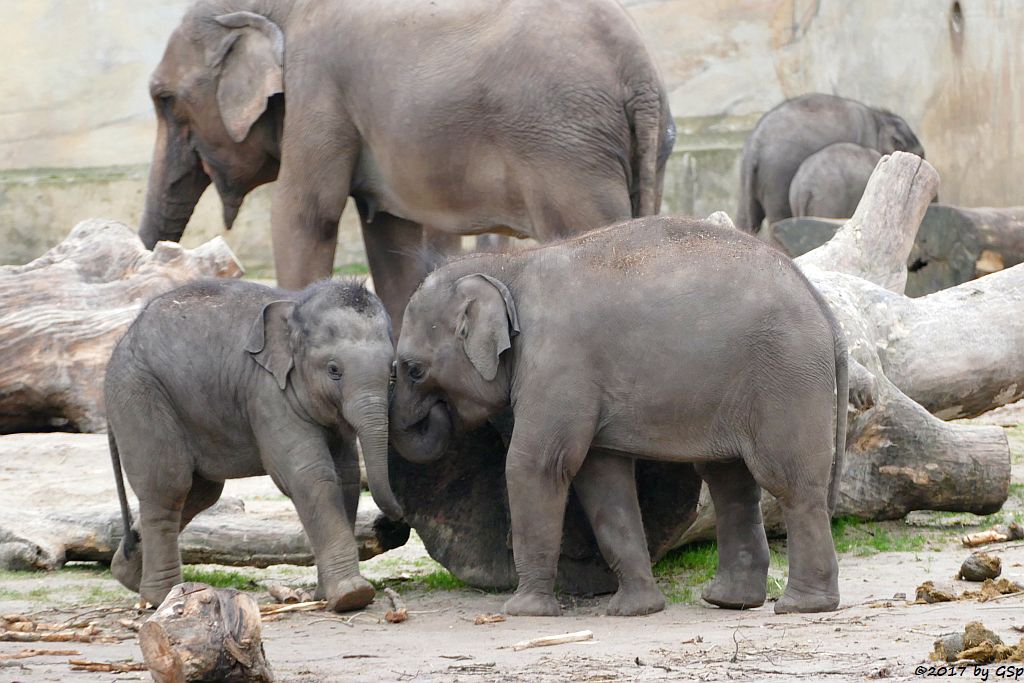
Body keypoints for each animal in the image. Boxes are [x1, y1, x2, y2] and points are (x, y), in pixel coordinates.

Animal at [105, 278, 401, 610]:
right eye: (334, 370)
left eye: (393, 372)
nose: (395, 522)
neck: (296, 308)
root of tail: (122, 339)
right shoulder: (267, 392)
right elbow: (310, 475)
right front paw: (352, 596)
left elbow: (346, 477)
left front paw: (328, 596)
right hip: (139, 395)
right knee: (169, 487)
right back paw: (162, 595)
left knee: (200, 493)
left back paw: (127, 574)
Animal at [140, 0, 675, 333]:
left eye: (164, 100)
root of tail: (640, 74)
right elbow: (390, 237)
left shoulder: (316, 84)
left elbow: (306, 214)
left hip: (567, 152)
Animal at [391, 216, 847, 618]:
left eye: (413, 369)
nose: (438, 413)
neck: (509, 265)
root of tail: (821, 303)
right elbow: (602, 479)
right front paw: (635, 610)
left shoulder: (559, 365)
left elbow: (536, 465)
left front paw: (524, 611)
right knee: (730, 481)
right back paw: (729, 601)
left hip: (786, 375)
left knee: (787, 481)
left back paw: (801, 606)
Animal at [737, 93, 929, 233]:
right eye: (921, 154)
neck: (879, 119)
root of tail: (754, 145)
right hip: (777, 177)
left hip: (749, 180)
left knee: (748, 220)